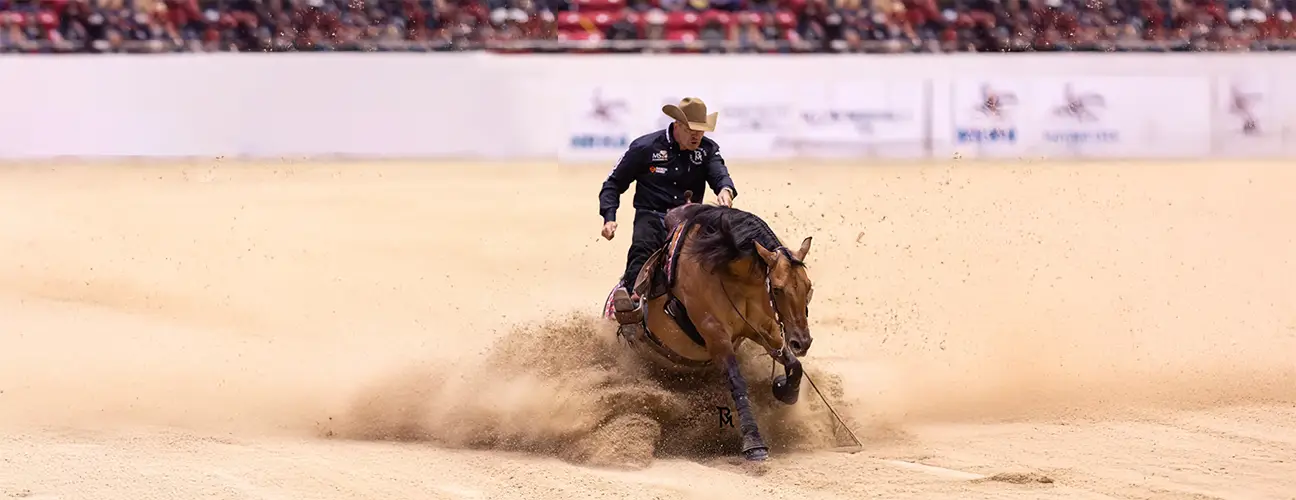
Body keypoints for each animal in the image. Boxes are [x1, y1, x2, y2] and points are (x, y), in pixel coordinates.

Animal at [602, 192, 815, 461]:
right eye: (776, 288)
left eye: (808, 286)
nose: (802, 341)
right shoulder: (715, 334)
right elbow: (737, 381)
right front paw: (754, 444)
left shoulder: (765, 329)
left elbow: (794, 365)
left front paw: (785, 390)